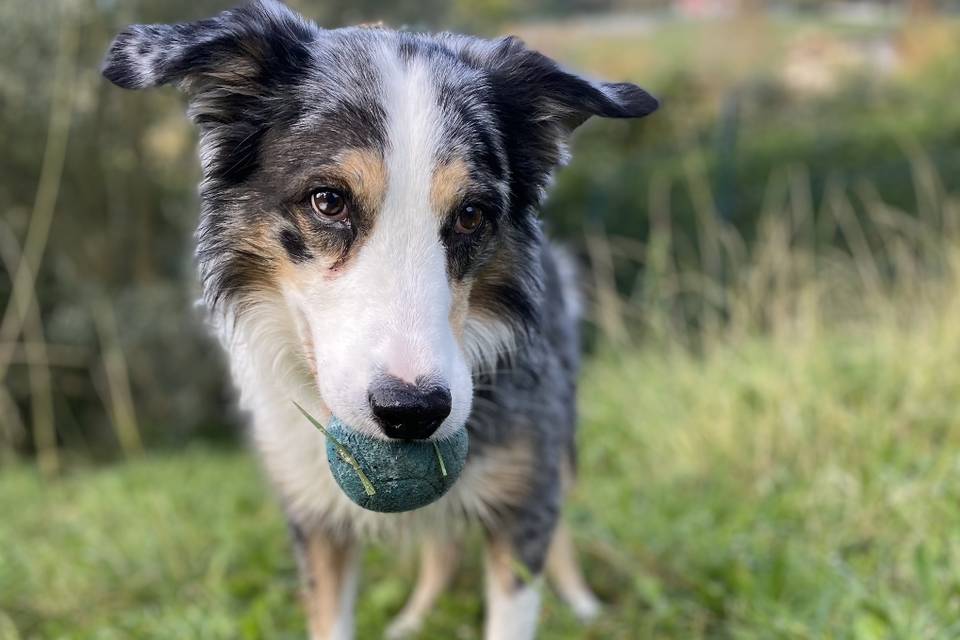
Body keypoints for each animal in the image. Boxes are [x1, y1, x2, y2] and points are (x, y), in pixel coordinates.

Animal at [103, 2, 660, 636]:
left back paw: (583, 603)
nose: (413, 413)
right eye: (328, 201)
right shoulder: (314, 518)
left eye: (472, 214)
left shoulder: (525, 493)